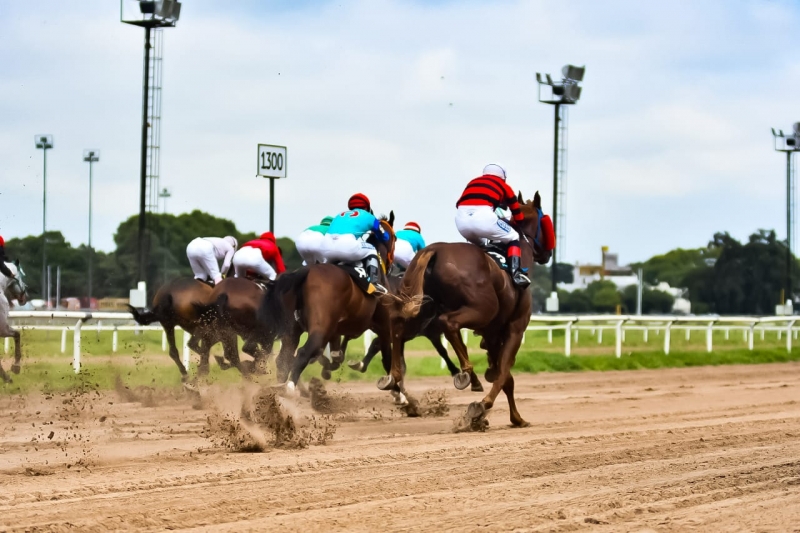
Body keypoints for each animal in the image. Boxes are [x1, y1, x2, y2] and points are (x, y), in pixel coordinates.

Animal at [260, 214, 396, 392]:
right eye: (395, 237)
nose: (392, 265)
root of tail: (307, 271)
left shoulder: (336, 331)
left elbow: (336, 355)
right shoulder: (384, 326)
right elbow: (387, 358)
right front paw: (395, 388)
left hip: (292, 330)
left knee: (284, 359)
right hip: (319, 327)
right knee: (302, 353)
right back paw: (289, 389)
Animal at [380, 193, 552, 426]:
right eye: (547, 221)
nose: (548, 253)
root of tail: (435, 249)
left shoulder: (491, 333)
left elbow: (504, 375)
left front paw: (514, 416)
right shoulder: (515, 329)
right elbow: (504, 372)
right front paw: (486, 408)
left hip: (422, 311)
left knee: (397, 322)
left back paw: (395, 376)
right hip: (479, 309)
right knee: (449, 323)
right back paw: (466, 373)